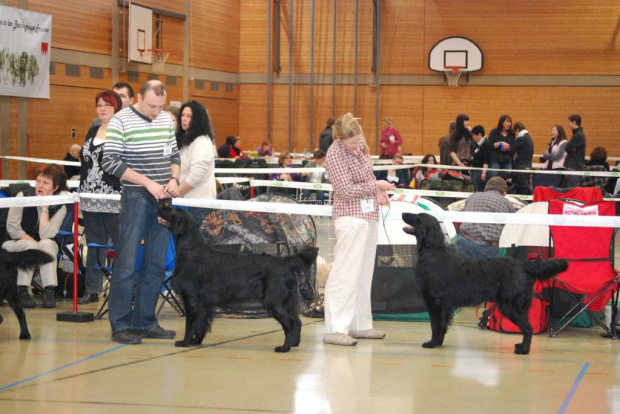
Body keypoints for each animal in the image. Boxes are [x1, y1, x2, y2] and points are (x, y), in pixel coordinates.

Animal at [158, 206, 318, 353]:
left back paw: (284, 347)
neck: (190, 250)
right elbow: (201, 325)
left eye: (173, 211)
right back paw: (294, 343)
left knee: (291, 323)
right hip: (286, 302)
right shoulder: (204, 304)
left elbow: (190, 324)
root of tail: (286, 261)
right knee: (297, 321)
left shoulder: (191, 298)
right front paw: (195, 342)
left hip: (275, 302)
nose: (160, 204)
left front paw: (184, 342)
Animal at [402, 212, 568, 355]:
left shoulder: (435, 303)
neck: (433, 253)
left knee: (528, 328)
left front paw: (432, 343)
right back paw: (521, 346)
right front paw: (438, 342)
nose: (403, 213)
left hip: (510, 306)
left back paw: (524, 350)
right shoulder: (444, 306)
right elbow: (442, 327)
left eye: (418, 216)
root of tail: (522, 264)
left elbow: (435, 326)